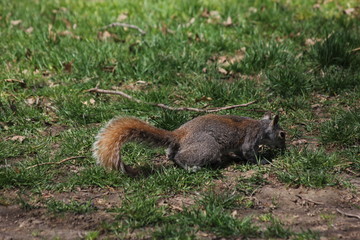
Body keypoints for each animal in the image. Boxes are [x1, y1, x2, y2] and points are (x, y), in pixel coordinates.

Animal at [93, 112, 286, 176]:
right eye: (282, 134)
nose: (284, 149)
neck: (261, 127)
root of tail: (179, 135)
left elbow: (240, 152)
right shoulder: (250, 138)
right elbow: (248, 153)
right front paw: (264, 161)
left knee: (171, 155)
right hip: (208, 147)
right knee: (180, 158)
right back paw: (192, 167)